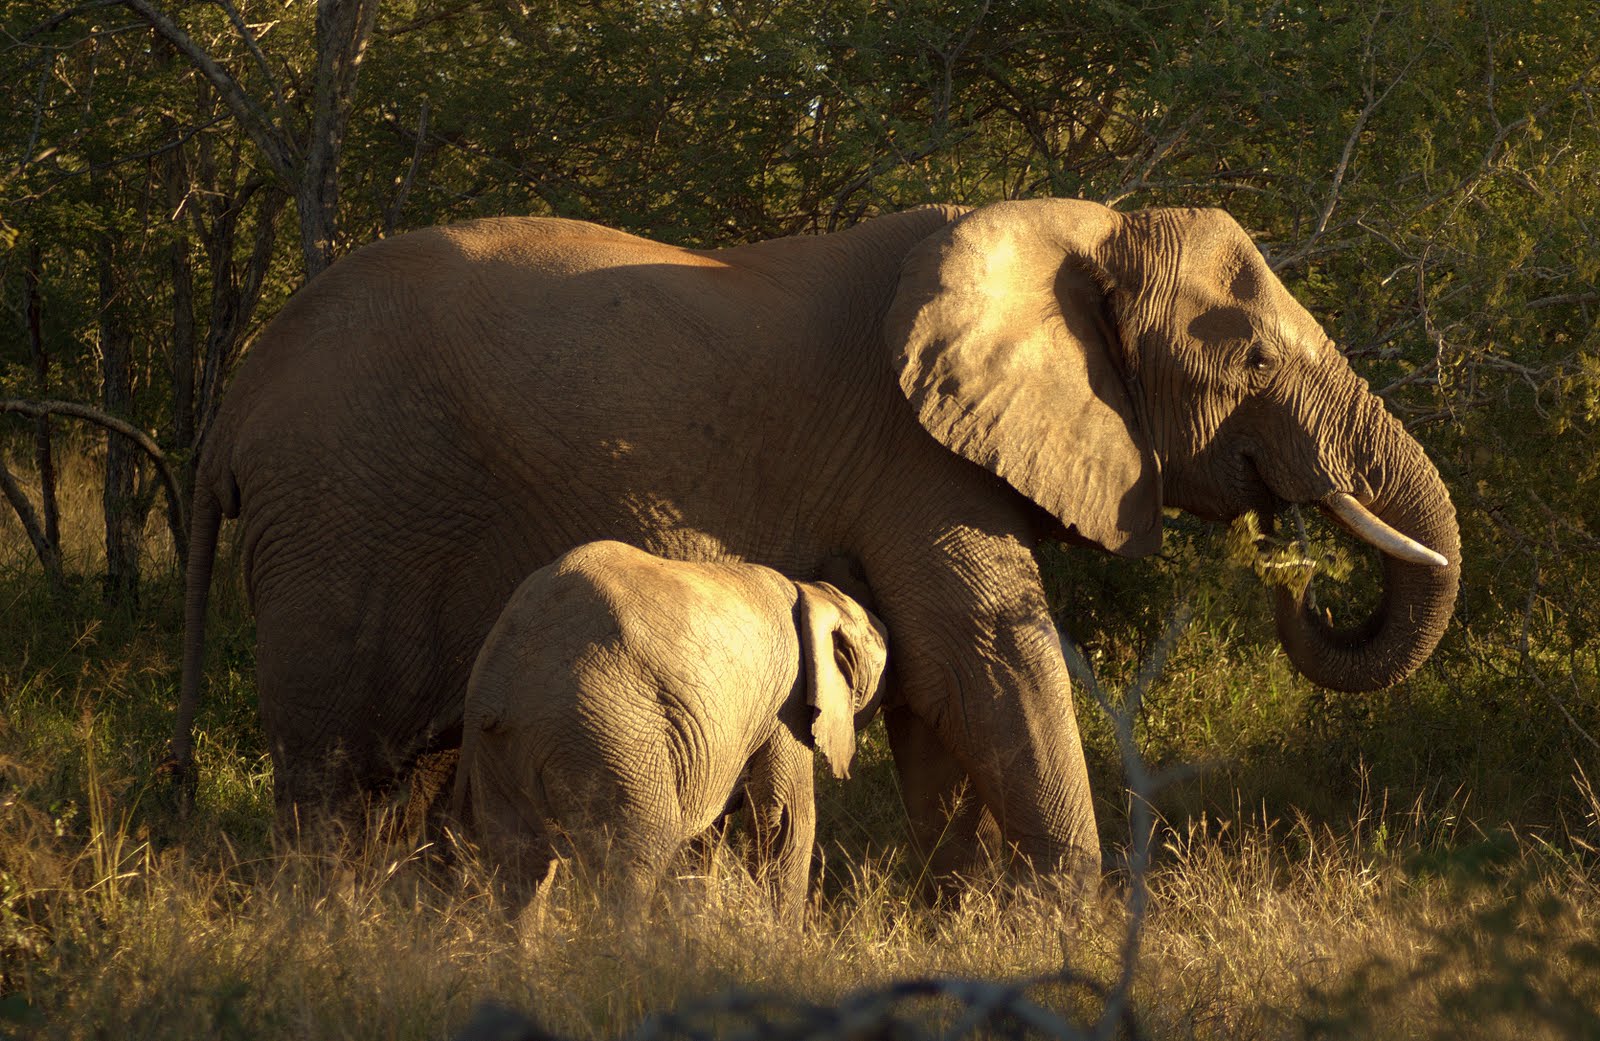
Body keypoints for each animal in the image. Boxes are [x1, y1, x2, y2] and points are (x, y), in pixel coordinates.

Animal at [168, 199, 1459, 876]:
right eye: (1252, 358)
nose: (1296, 572)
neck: (1068, 224)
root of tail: (232, 407)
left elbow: (938, 695)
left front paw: (959, 920)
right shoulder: (916, 458)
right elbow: (993, 661)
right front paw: (1076, 926)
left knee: (409, 779)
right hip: (344, 521)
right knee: (334, 775)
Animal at [454, 540, 889, 914]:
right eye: (882, 657)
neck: (812, 594)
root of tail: (495, 682)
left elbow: (708, 835)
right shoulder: (787, 704)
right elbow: (782, 821)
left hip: (502, 751)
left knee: (521, 868)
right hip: (607, 734)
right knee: (636, 858)